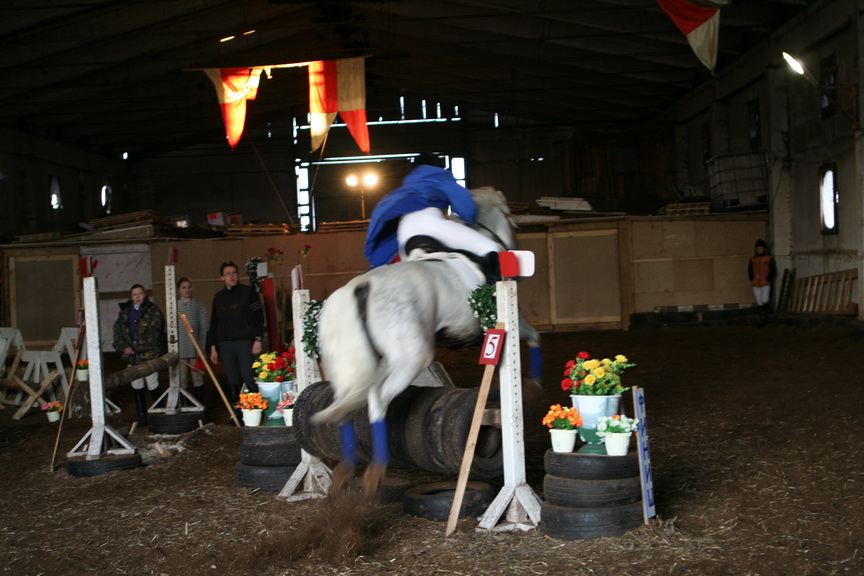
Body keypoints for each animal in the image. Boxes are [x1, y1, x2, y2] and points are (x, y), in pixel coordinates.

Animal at [313, 186, 542, 495]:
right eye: (510, 219)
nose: (517, 250)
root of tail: (363, 285)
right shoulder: (505, 322)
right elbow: (534, 338)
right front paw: (534, 387)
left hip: (349, 362)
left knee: (346, 404)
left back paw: (346, 470)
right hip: (412, 357)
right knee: (377, 398)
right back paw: (376, 470)